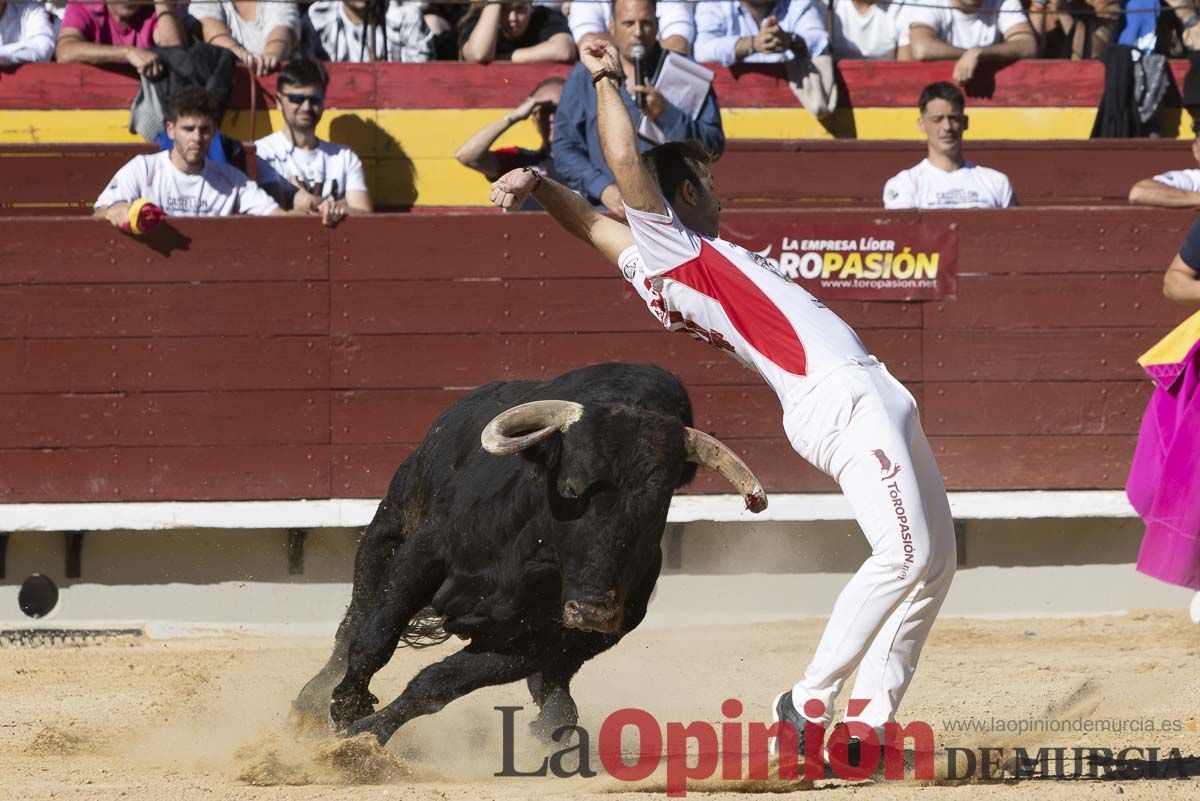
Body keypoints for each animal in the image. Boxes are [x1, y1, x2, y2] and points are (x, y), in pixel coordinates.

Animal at [290, 362, 768, 743]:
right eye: (571, 487)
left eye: (657, 505)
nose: (593, 611)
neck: (536, 555)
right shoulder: (422, 554)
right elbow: (374, 639)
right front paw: (348, 709)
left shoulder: (536, 640)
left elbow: (437, 683)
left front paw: (364, 740)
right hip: (386, 533)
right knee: (353, 624)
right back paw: (308, 706)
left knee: (551, 685)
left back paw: (554, 725)